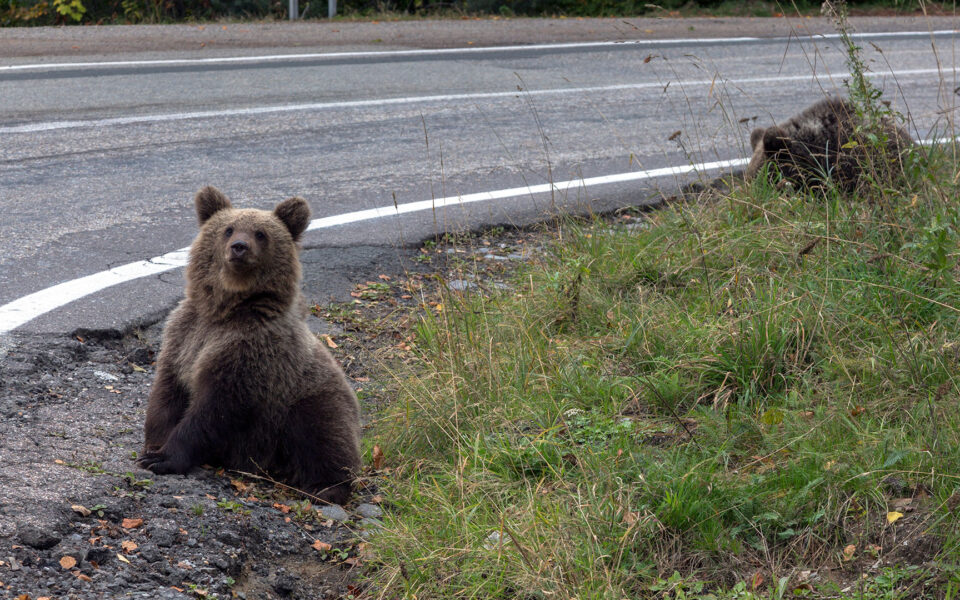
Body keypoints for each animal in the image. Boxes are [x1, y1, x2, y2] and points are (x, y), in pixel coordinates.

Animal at [142, 188, 364, 506]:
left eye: (261, 233)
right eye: (228, 228)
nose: (239, 247)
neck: (226, 310)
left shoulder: (251, 352)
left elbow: (215, 409)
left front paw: (165, 458)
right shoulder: (184, 336)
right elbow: (168, 391)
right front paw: (154, 446)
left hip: (310, 398)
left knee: (324, 436)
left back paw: (325, 487)